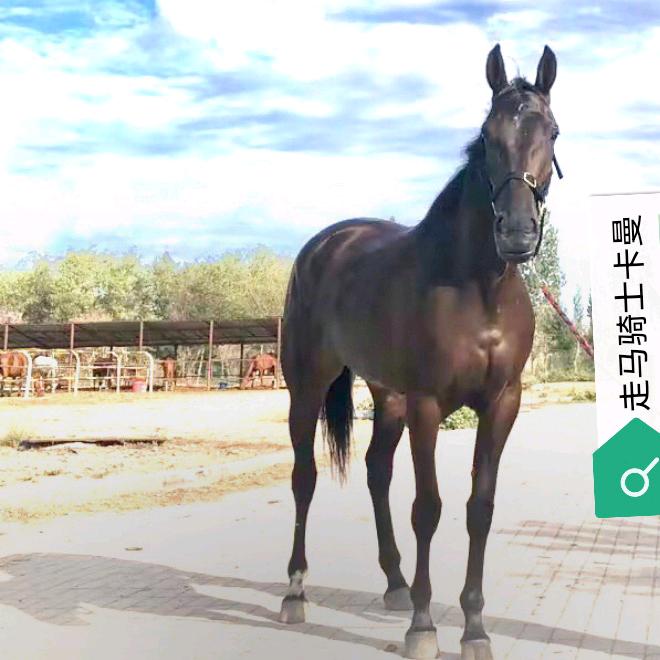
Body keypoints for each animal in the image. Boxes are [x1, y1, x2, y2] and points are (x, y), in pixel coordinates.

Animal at [278, 44, 561, 660]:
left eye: (551, 131)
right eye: (487, 134)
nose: (517, 234)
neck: (478, 288)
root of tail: (324, 244)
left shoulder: (503, 403)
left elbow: (479, 509)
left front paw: (474, 628)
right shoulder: (430, 403)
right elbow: (428, 509)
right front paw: (424, 627)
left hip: (389, 397)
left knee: (375, 471)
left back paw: (395, 583)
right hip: (307, 386)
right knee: (304, 477)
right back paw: (295, 591)